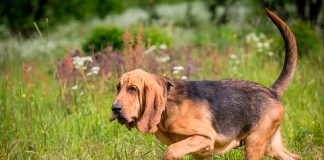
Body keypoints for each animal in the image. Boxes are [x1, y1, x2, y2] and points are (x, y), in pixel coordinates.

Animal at [110, 9, 300, 160]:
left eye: (133, 89)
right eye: (118, 87)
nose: (115, 109)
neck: (168, 102)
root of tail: (271, 91)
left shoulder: (204, 138)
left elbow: (171, 150)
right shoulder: (201, 153)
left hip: (254, 144)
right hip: (270, 146)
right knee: (294, 157)